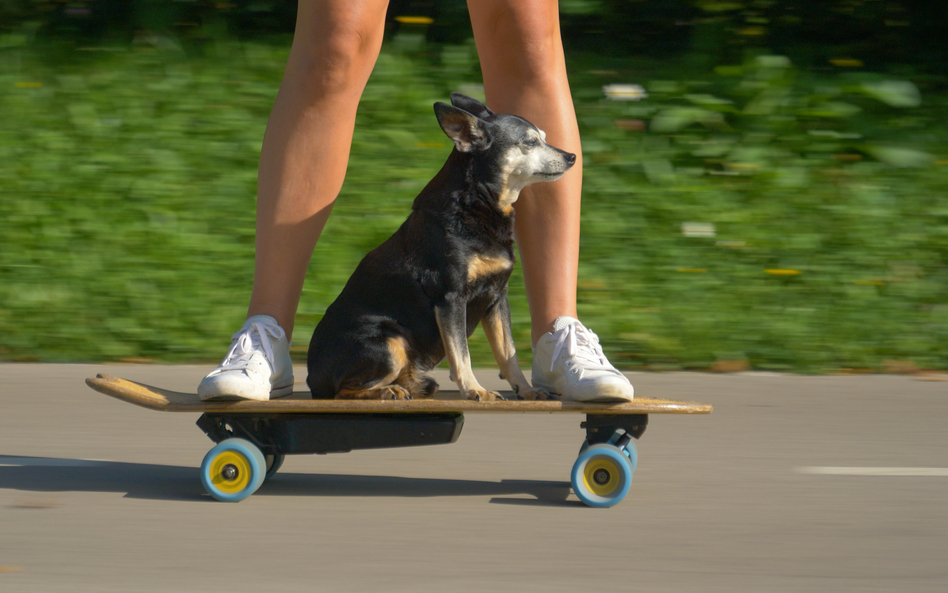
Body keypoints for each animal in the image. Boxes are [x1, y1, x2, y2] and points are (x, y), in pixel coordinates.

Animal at [308, 92, 572, 400]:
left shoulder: (496, 297)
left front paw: (527, 391)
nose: (571, 156)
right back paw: (389, 391)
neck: (477, 202)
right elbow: (461, 354)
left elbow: (508, 353)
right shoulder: (450, 298)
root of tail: (313, 378)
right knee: (343, 391)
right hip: (390, 341)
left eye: (544, 137)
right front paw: (475, 390)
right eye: (530, 142)